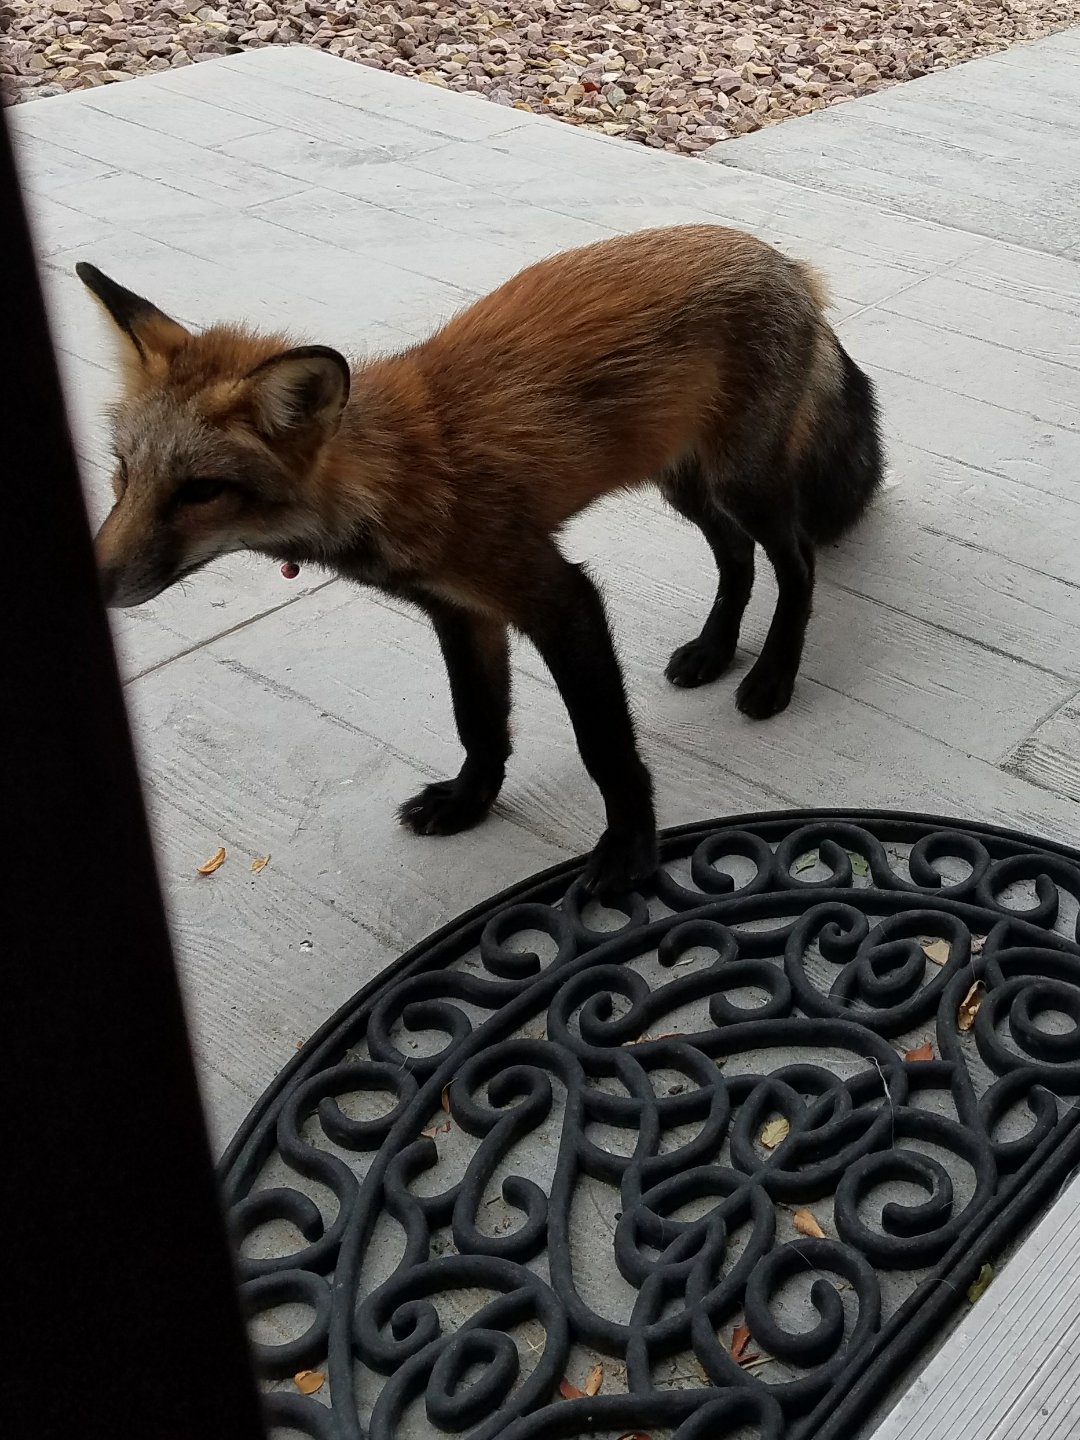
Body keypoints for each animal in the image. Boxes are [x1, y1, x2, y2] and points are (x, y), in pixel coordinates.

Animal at [76, 224, 882, 897]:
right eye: (123, 473)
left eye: (199, 491)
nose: (95, 584)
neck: (396, 472)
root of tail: (782, 259)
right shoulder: (459, 611)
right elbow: (479, 721)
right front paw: (470, 802)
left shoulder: (555, 595)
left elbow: (603, 745)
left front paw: (628, 848)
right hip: (685, 481)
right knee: (736, 557)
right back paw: (714, 650)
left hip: (740, 483)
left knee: (796, 562)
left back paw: (772, 675)